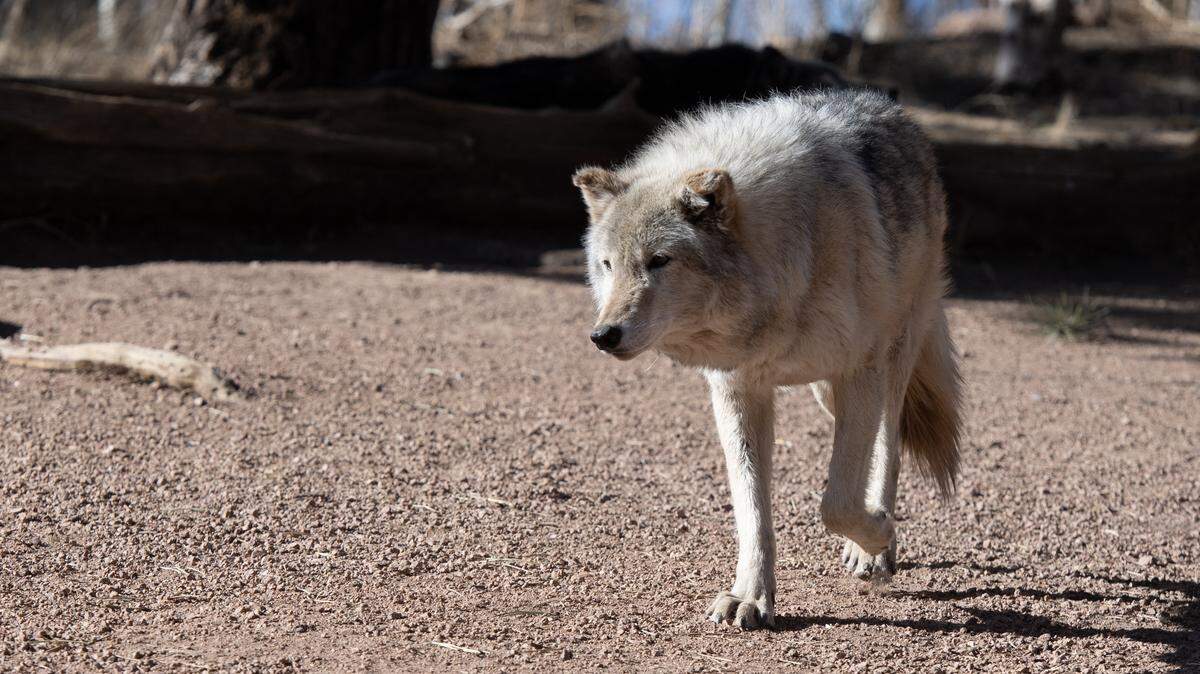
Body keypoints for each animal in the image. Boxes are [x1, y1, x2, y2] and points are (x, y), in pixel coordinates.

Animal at [573, 89, 963, 629]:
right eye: (608, 265)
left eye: (659, 261)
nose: (602, 335)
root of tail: (888, 106)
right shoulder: (738, 390)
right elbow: (752, 512)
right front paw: (752, 597)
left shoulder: (858, 372)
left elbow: (836, 502)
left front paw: (879, 534)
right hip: (826, 394)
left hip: (889, 362)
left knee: (889, 447)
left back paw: (874, 549)